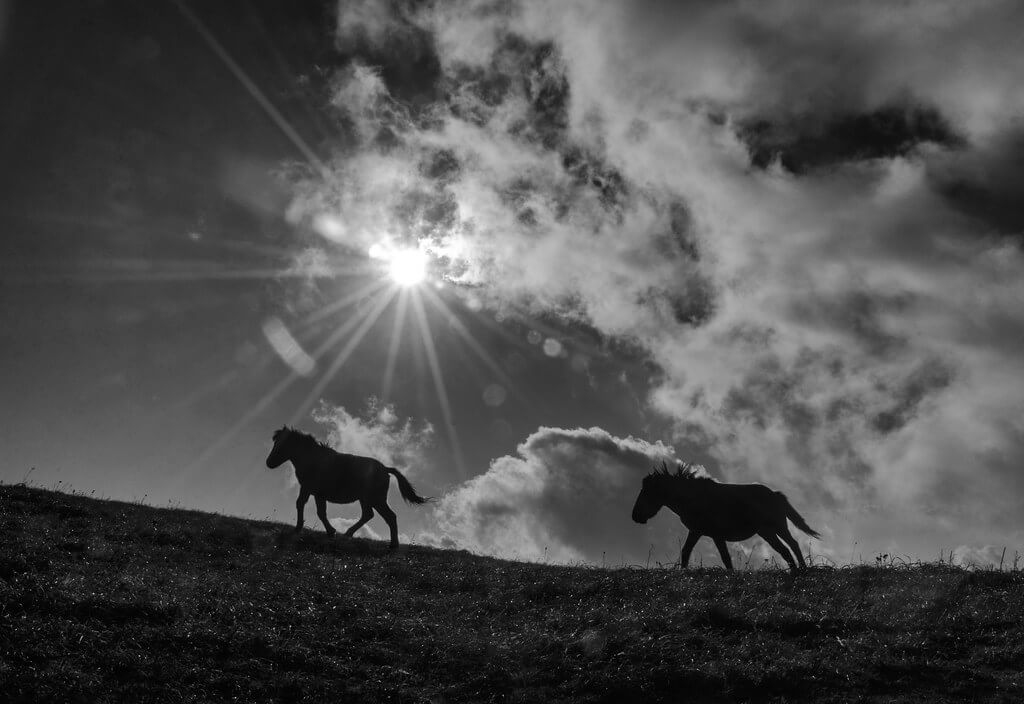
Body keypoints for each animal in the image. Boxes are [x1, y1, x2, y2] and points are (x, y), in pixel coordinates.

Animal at [266, 423, 430, 548]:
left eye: (283, 444)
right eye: (275, 442)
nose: (269, 463)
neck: (313, 459)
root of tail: (385, 469)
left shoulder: (312, 490)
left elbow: (312, 509)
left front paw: (320, 530)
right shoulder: (313, 492)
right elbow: (312, 508)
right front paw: (319, 530)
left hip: (376, 499)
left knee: (390, 517)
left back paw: (393, 545)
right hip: (366, 499)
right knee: (368, 515)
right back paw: (349, 533)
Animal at [626, 462, 819, 573]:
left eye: (647, 492)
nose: (635, 516)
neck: (694, 497)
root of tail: (775, 494)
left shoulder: (715, 534)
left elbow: (725, 558)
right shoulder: (697, 531)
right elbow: (686, 552)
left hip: (777, 527)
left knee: (792, 544)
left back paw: (802, 569)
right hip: (767, 532)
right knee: (785, 549)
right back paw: (795, 571)